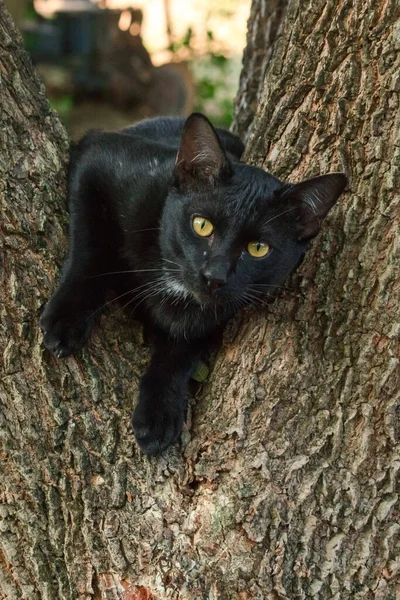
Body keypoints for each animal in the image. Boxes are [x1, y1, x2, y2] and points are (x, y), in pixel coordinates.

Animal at [40, 113, 346, 454]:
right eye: (201, 225)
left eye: (258, 248)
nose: (215, 275)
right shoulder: (100, 157)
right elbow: (89, 247)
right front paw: (66, 320)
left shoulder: (213, 318)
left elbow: (180, 352)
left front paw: (159, 414)